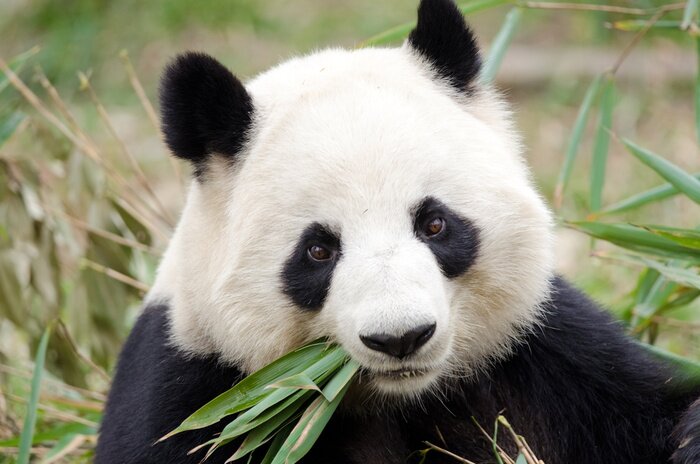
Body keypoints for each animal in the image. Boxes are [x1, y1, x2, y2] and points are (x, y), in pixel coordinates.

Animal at [95, 0, 700, 463]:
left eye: (434, 223)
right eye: (318, 250)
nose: (401, 337)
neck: (399, 397)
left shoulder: (549, 356)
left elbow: (655, 412)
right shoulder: (199, 391)